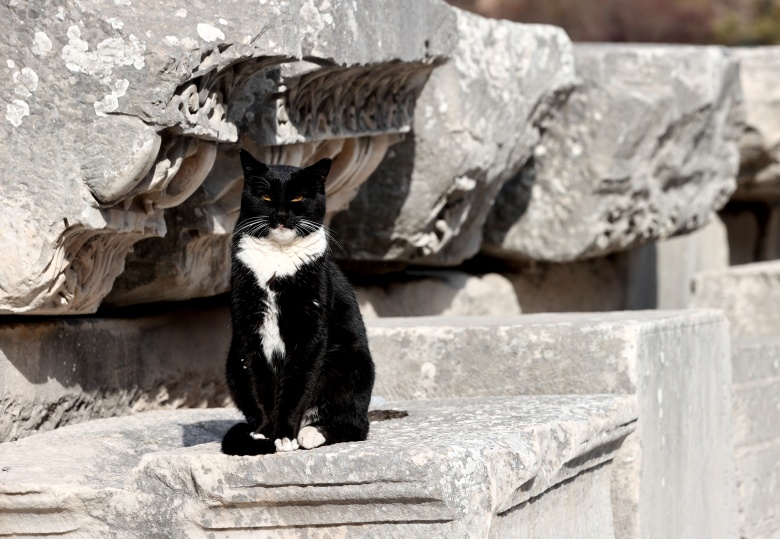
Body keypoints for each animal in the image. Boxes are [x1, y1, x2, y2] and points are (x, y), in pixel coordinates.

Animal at [221, 148, 376, 456]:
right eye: (266, 197)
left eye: (297, 199)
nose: (281, 215)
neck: (277, 260)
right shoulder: (249, 330)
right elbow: (259, 383)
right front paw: (265, 433)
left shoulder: (309, 333)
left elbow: (297, 384)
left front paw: (284, 436)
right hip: (232, 363)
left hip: (354, 362)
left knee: (357, 425)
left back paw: (311, 432)